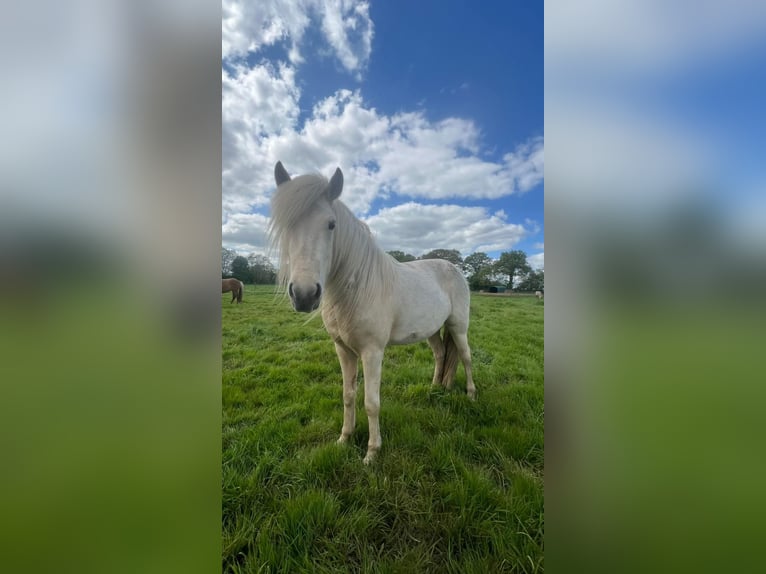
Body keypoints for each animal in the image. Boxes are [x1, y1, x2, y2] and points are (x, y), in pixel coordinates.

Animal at [269, 161, 475, 464]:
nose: (305, 295)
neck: (356, 289)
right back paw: (435, 388)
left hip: (458, 326)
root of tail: (455, 269)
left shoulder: (372, 351)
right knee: (440, 354)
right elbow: (348, 395)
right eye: (285, 226)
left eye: (331, 224)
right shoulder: (343, 350)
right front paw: (344, 439)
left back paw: (471, 396)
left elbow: (371, 402)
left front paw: (372, 452)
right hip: (432, 331)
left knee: (465, 356)